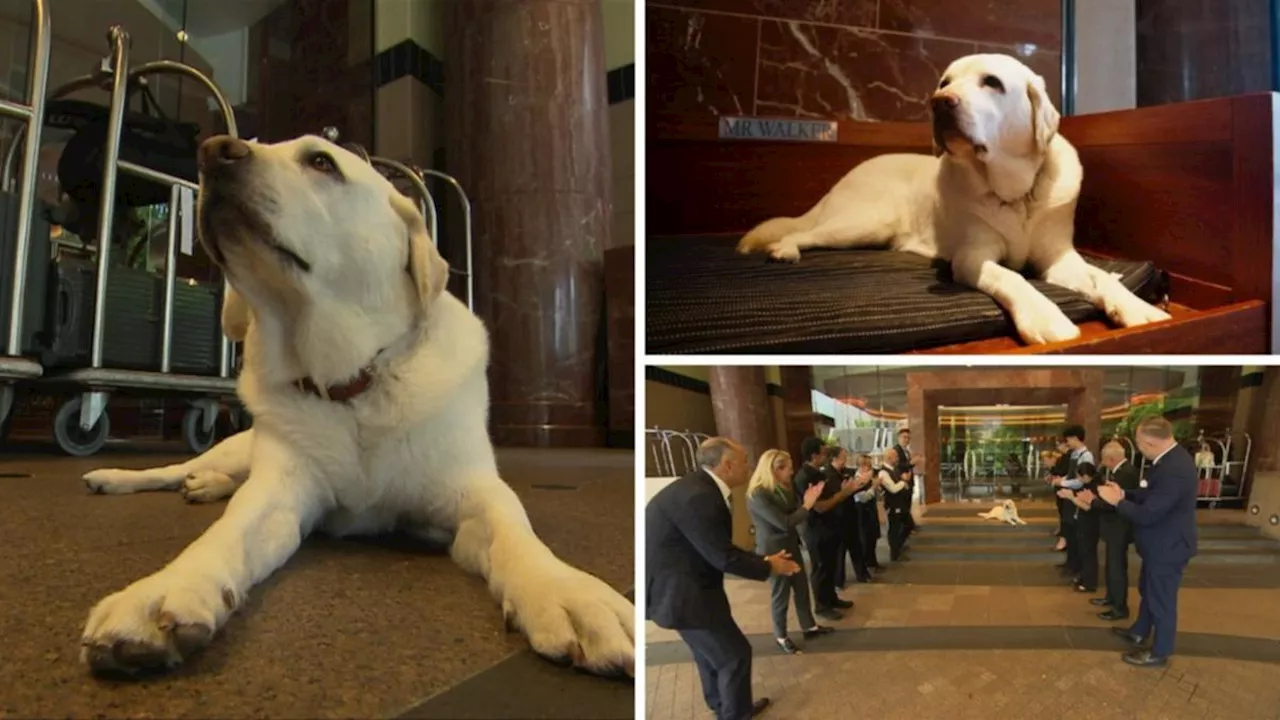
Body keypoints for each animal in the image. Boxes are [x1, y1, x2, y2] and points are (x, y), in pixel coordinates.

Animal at [78, 131, 634, 676]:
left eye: (321, 162)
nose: (213, 151)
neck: (352, 384)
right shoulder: (280, 492)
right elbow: (227, 533)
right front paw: (163, 591)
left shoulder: (474, 491)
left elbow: (516, 536)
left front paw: (571, 594)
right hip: (236, 448)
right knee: (175, 468)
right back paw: (126, 478)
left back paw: (204, 485)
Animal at [742, 53, 1172, 345]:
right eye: (944, 81)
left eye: (992, 82)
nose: (938, 102)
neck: (1015, 193)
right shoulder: (972, 257)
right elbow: (1013, 276)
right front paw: (1044, 316)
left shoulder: (1058, 257)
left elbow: (1099, 277)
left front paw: (1137, 307)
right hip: (862, 224)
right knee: (805, 232)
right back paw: (784, 249)